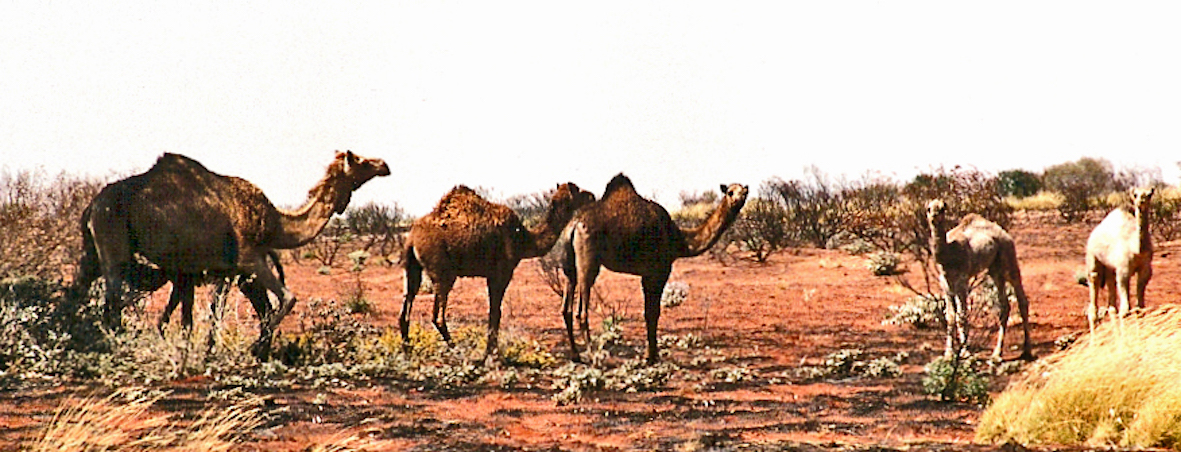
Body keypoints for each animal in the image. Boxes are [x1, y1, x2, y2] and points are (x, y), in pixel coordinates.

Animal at [74, 151, 389, 359]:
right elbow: (287, 299)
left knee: (82, 288)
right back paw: (113, 345)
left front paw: (211, 352)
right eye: (360, 160)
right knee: (112, 298)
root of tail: (92, 204)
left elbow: (215, 314)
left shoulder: (225, 270)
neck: (276, 223)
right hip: (112, 241)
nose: (384, 164)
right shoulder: (249, 259)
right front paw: (254, 347)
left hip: (92, 252)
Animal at [399, 183, 595, 361]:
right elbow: (496, 312)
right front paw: (492, 355)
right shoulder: (502, 271)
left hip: (413, 268)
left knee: (407, 304)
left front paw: (490, 352)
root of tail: (412, 239)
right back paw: (458, 350)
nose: (591, 195)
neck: (523, 238)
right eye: (578, 190)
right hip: (443, 272)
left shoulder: (491, 274)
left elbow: (493, 312)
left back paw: (407, 350)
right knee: (437, 316)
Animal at [550, 174, 748, 364]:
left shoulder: (647, 274)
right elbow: (654, 313)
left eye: (744, 192)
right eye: (730, 192)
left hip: (569, 265)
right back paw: (594, 357)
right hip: (588, 261)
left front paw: (649, 355)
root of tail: (574, 225)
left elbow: (647, 312)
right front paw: (652, 357)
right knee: (581, 311)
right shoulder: (660, 271)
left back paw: (575, 355)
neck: (679, 239)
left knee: (566, 308)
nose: (738, 199)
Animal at [926, 199, 1033, 361]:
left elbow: (961, 316)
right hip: (995, 270)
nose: (934, 217)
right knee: (1004, 306)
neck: (948, 254)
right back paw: (997, 353)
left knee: (1021, 299)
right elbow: (950, 317)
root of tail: (1005, 234)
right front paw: (949, 353)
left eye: (943, 208)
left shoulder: (962, 281)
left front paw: (965, 352)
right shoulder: (945, 284)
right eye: (928, 208)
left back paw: (1026, 350)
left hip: (1008, 257)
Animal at [1085, 187, 1154, 333]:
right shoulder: (1123, 270)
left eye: (1149, 194)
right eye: (1135, 194)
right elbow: (1125, 310)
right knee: (1093, 300)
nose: (1141, 202)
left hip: (1110, 269)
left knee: (1112, 307)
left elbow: (1140, 308)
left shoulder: (1145, 269)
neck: (1136, 248)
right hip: (1092, 259)